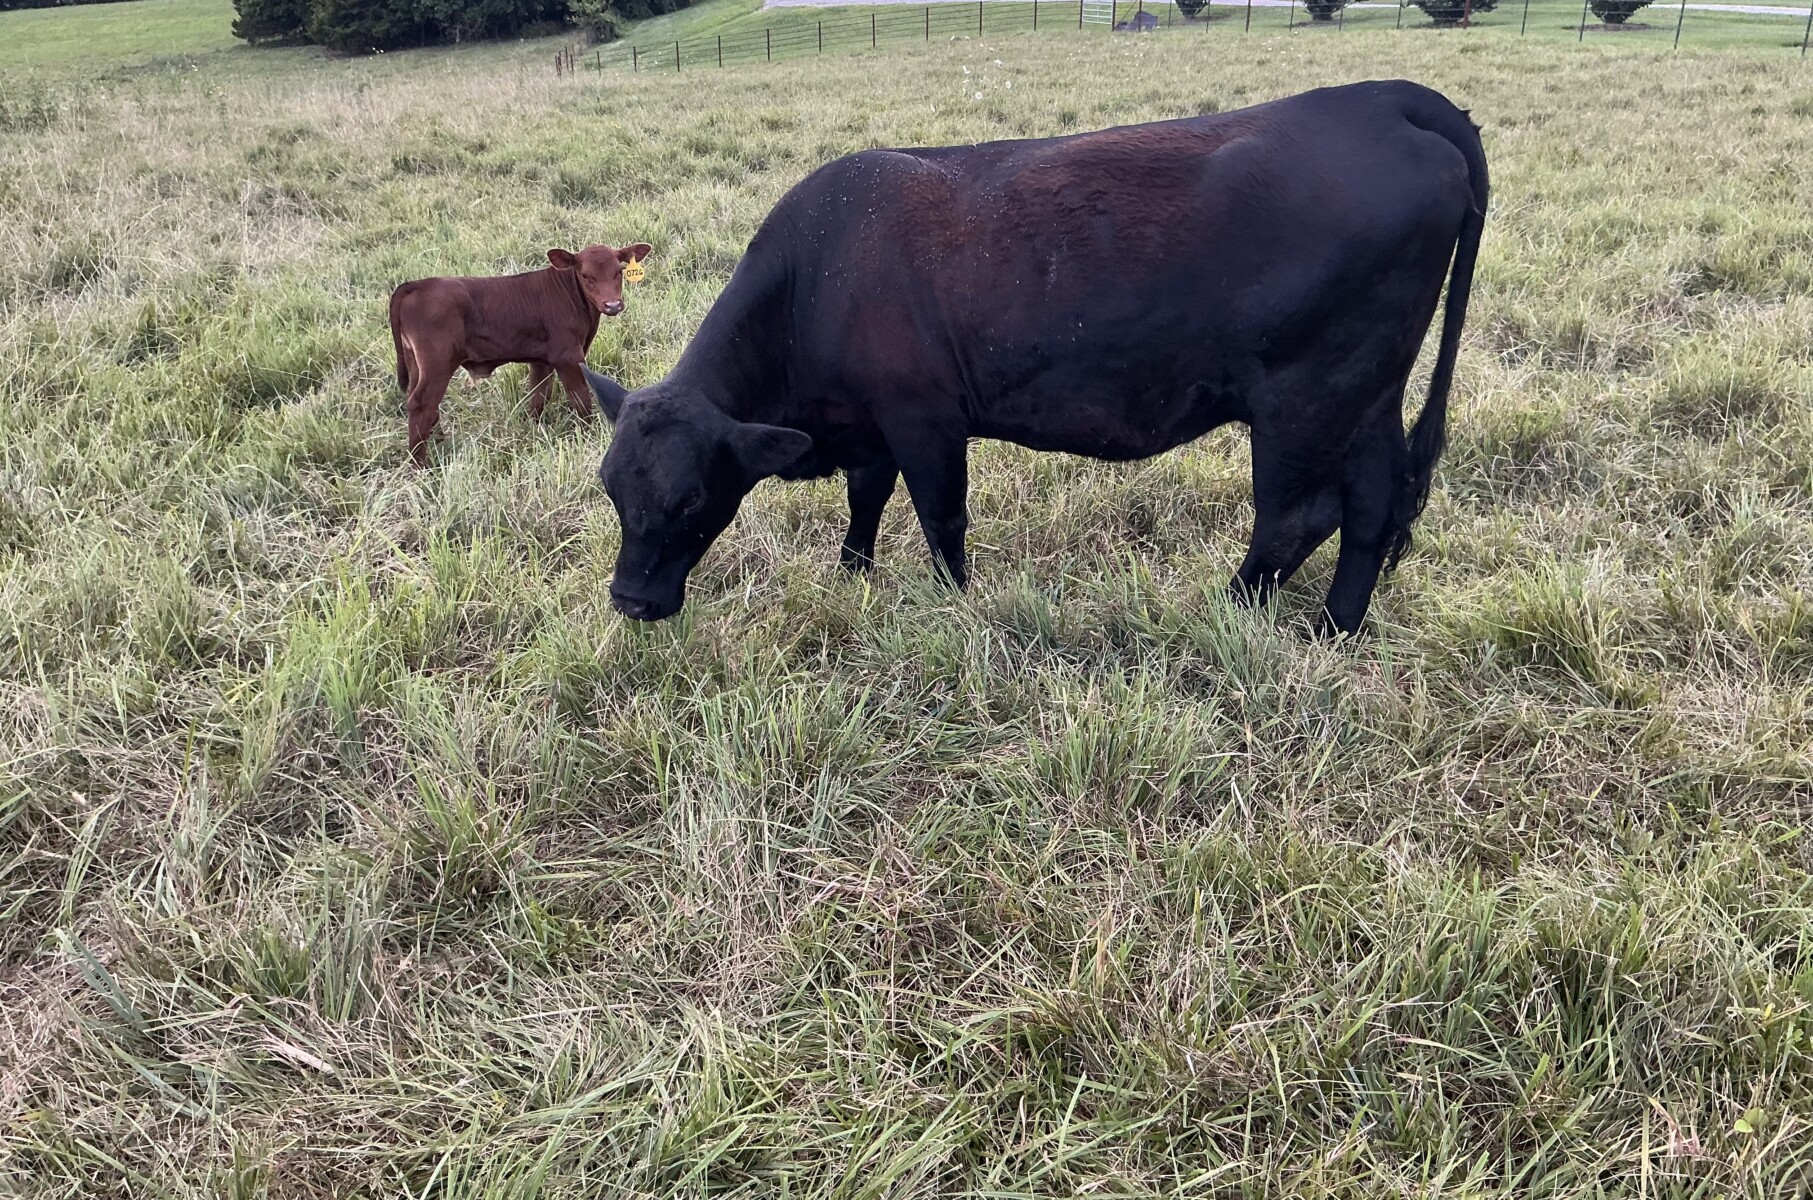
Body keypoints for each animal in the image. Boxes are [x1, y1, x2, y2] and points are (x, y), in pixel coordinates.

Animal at [389, 242, 650, 466]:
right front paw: (587, 434)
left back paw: (440, 444)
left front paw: (536, 431)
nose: (612, 305)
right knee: (422, 403)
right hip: (438, 363)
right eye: (586, 275)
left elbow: (538, 397)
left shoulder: (542, 362)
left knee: (422, 401)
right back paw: (420, 466)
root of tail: (417, 284)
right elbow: (581, 400)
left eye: (619, 272)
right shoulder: (568, 357)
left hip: (416, 362)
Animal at [586, 80, 1488, 634]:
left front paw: (949, 604)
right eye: (610, 488)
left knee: (1295, 518)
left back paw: (1226, 612)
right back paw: (1335, 630)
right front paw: (851, 577)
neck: (819, 272)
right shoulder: (867, 424)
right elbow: (865, 499)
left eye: (692, 497)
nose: (629, 601)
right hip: (1367, 393)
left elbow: (940, 518)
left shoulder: (924, 418)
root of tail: (1379, 100)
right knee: (1372, 505)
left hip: (1305, 400)